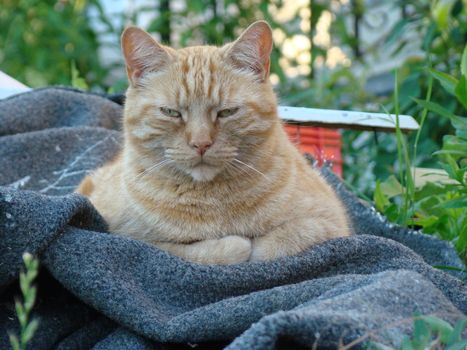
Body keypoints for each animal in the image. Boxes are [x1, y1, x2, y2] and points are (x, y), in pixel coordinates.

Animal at [77, 20, 352, 264]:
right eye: (171, 112)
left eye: (226, 112)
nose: (201, 144)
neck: (211, 200)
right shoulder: (121, 235)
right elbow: (197, 250)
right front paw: (235, 245)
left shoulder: (331, 222)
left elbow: (277, 243)